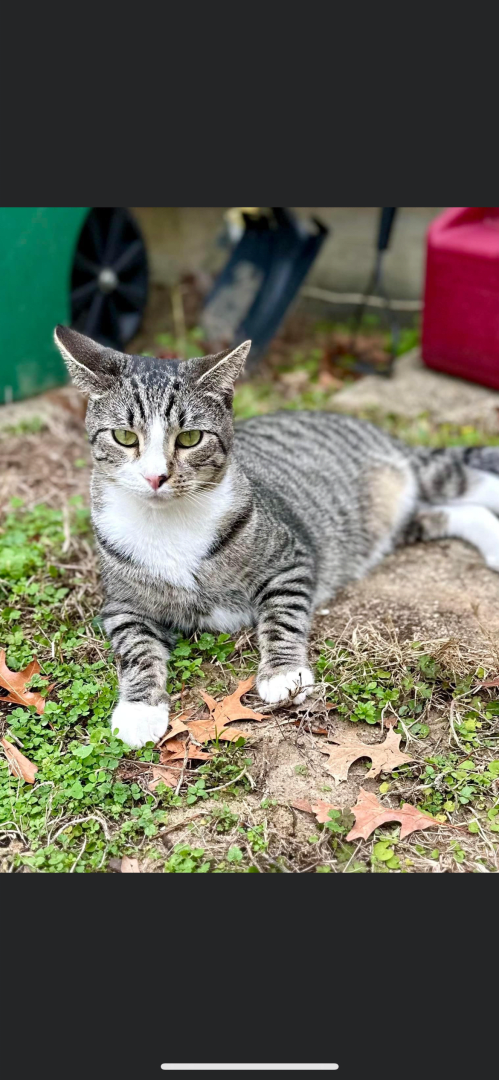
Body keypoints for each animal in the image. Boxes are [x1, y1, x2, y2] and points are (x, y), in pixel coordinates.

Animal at [54, 325, 499, 748]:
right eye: (125, 438)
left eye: (190, 438)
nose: (155, 477)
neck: (168, 523)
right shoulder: (120, 605)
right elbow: (137, 649)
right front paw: (139, 710)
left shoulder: (291, 559)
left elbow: (281, 614)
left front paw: (283, 674)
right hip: (395, 523)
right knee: (452, 511)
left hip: (426, 477)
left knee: (473, 482)